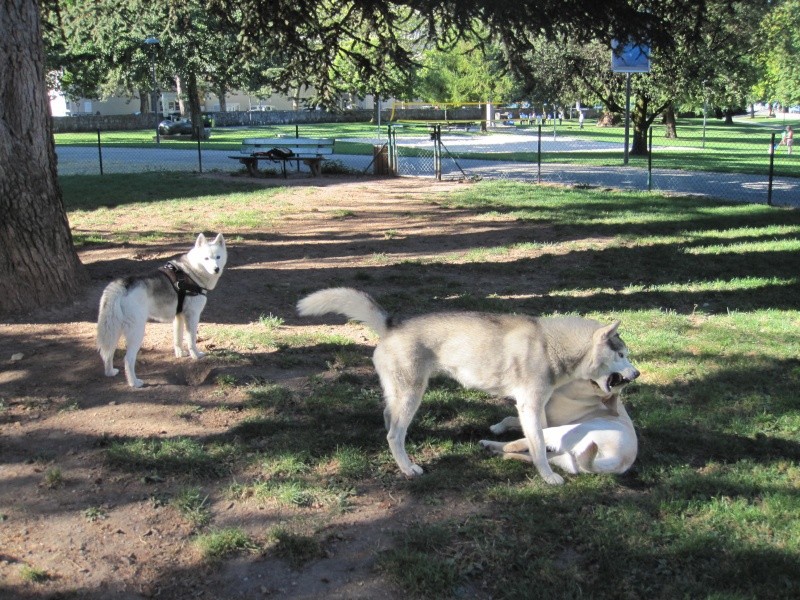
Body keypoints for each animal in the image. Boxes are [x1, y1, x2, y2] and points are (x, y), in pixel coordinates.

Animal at [99, 232, 228, 386]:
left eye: (218, 257)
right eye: (206, 258)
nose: (216, 269)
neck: (191, 272)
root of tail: (124, 284)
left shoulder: (179, 317)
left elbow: (178, 339)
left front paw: (180, 354)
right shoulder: (192, 316)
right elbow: (191, 340)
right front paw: (196, 355)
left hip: (114, 330)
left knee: (108, 352)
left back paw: (110, 372)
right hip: (137, 331)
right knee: (128, 359)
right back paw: (134, 383)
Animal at [482, 378, 636, 476]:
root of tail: (620, 459)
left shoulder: (545, 417)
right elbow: (509, 419)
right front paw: (497, 427)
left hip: (566, 431)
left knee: (530, 443)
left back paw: (498, 446)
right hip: (567, 460)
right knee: (537, 456)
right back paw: (495, 450)